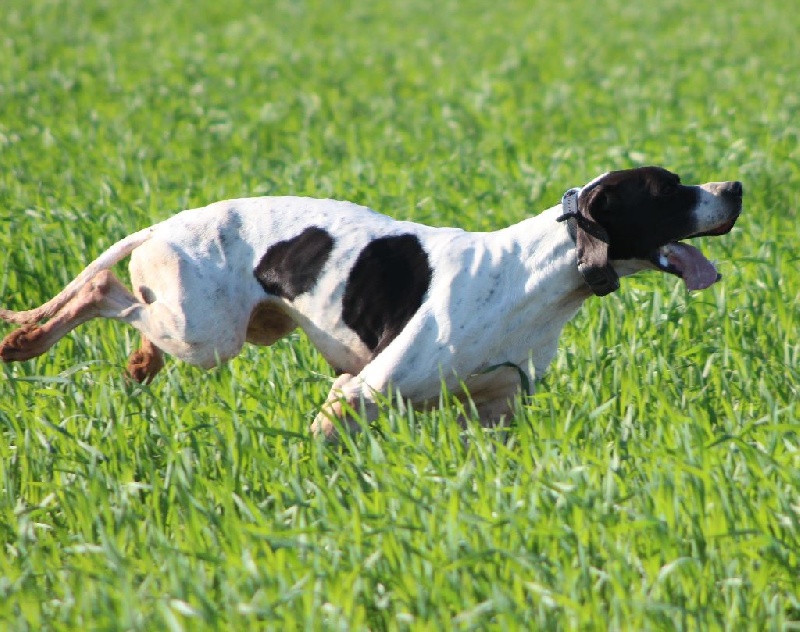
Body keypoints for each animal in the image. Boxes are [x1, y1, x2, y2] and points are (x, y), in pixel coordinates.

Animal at [0, 165, 740, 436]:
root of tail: (167, 222)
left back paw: (135, 363)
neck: (537, 279)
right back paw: (26, 341)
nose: (734, 187)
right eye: (668, 189)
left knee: (132, 317)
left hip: (224, 325)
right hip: (206, 333)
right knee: (101, 288)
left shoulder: (494, 412)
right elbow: (326, 432)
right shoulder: (361, 389)